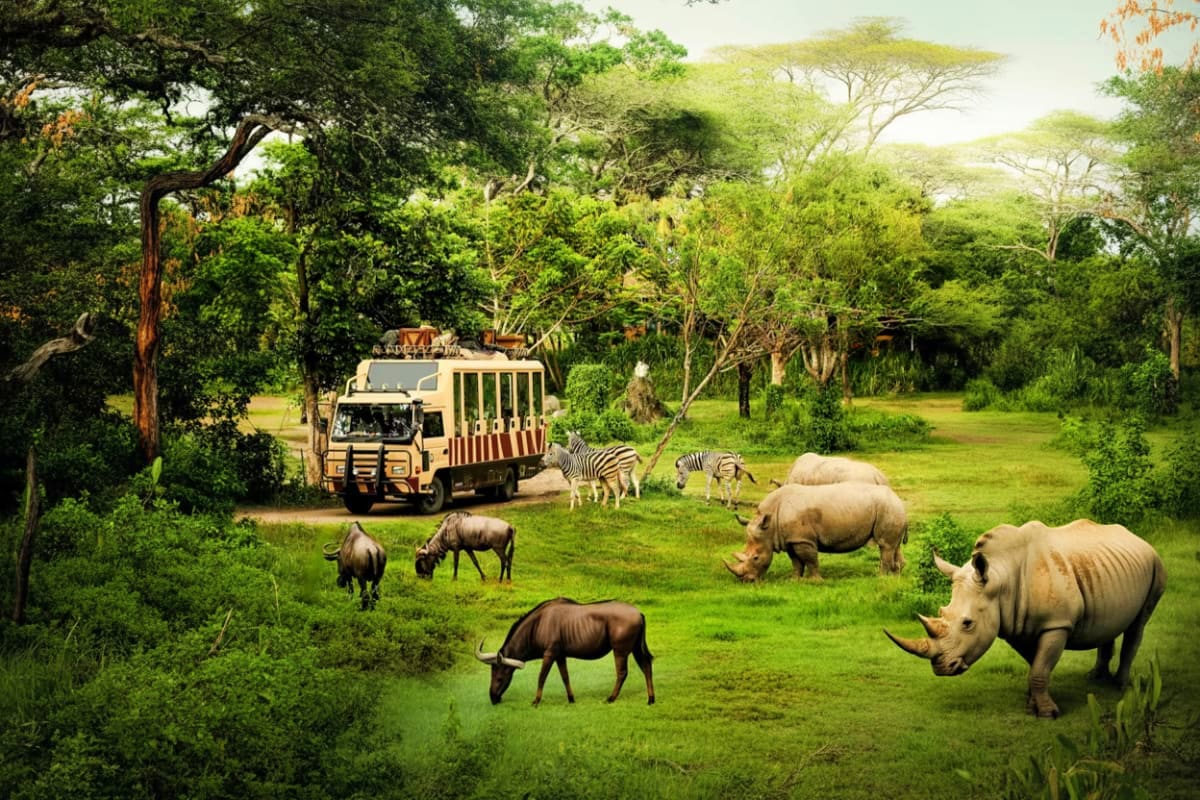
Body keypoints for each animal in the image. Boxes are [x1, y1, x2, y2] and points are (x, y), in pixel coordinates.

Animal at [723, 483, 908, 582]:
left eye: (755, 558)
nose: (747, 581)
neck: (770, 526)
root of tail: (898, 498)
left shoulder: (803, 539)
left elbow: (810, 560)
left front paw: (815, 581)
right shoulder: (791, 539)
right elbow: (796, 562)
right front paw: (794, 580)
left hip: (888, 507)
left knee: (885, 545)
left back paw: (881, 577)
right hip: (892, 509)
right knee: (894, 546)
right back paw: (895, 577)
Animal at [885, 519, 1166, 718]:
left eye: (968, 624)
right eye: (942, 613)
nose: (941, 668)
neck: (1001, 579)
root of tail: (1138, 538)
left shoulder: (1056, 624)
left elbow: (1040, 669)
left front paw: (1048, 714)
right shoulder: (1015, 625)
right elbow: (1036, 665)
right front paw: (1033, 705)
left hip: (1156, 564)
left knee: (1138, 625)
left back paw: (1120, 686)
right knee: (1108, 624)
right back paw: (1095, 677)